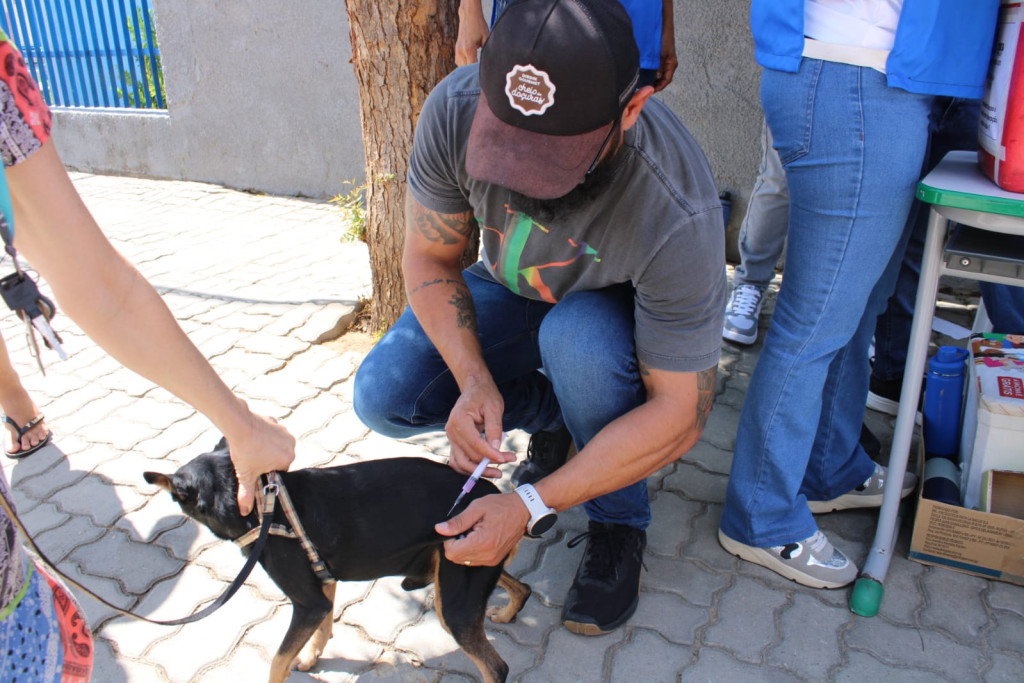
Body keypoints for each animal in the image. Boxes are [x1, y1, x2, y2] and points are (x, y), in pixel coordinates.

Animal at [143, 439, 531, 683]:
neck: (264, 506)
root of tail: (493, 494)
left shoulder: (307, 602)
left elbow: (277, 661)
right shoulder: (323, 585)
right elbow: (323, 629)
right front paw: (310, 659)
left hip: (454, 599)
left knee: (496, 668)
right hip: (463, 564)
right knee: (522, 587)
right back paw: (508, 612)